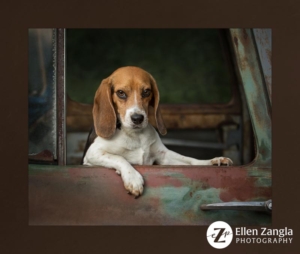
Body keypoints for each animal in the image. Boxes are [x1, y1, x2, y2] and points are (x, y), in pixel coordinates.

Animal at [83, 66, 233, 196]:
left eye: (146, 91)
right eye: (121, 93)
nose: (137, 118)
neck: (134, 135)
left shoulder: (164, 156)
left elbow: (190, 161)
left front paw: (213, 161)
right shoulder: (92, 154)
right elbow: (119, 157)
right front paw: (133, 178)